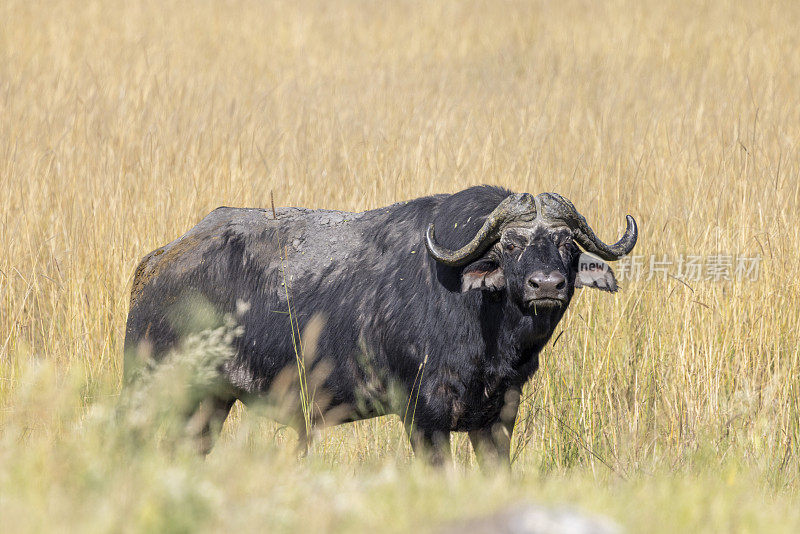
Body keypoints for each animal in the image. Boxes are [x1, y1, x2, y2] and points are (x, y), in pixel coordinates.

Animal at [125, 186, 636, 466]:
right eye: (510, 244)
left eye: (566, 242)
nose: (546, 284)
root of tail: (154, 267)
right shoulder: (423, 420)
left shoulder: (495, 422)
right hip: (154, 390)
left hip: (210, 403)